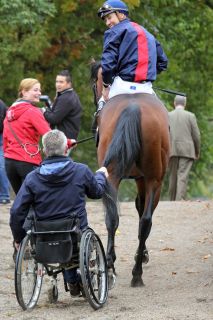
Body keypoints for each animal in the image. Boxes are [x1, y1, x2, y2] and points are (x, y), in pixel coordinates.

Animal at [90, 60, 170, 288]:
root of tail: (134, 107)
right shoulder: (144, 180)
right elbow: (141, 208)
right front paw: (141, 255)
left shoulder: (141, 179)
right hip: (153, 180)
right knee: (145, 220)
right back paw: (136, 272)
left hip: (118, 177)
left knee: (113, 218)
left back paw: (111, 267)